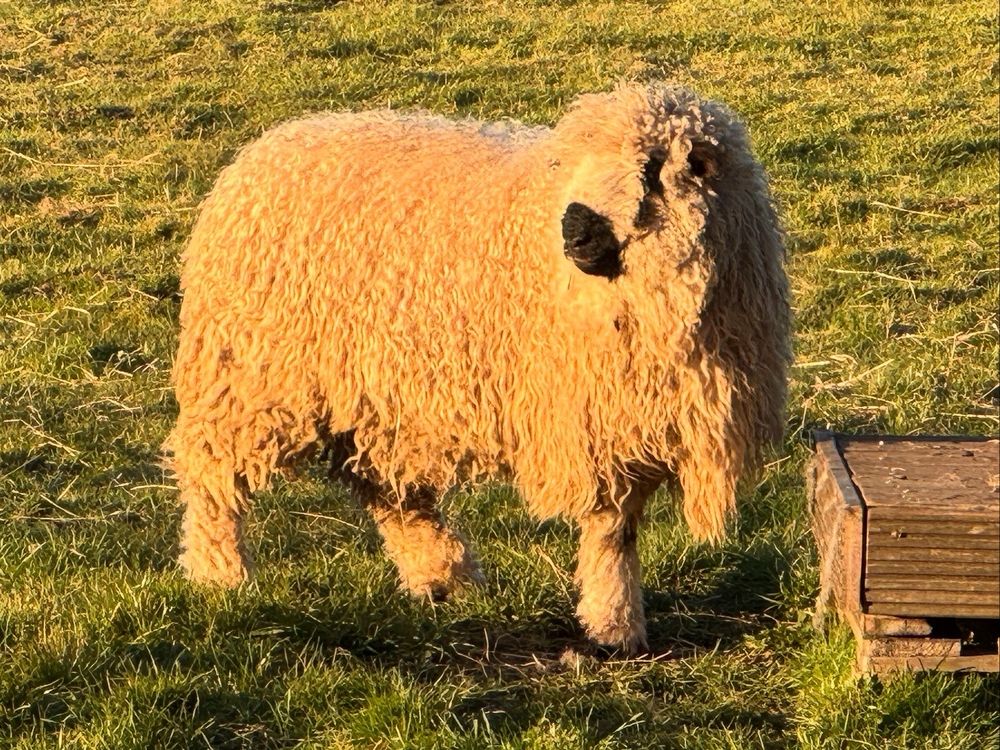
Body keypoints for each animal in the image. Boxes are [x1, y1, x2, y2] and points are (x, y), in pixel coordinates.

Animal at [165, 82, 790, 654]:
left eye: (651, 169)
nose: (574, 230)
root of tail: (261, 150)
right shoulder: (589, 420)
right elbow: (612, 531)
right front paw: (614, 625)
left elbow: (621, 528)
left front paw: (614, 623)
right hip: (253, 373)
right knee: (213, 471)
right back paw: (219, 572)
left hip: (378, 392)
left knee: (385, 485)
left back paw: (443, 574)